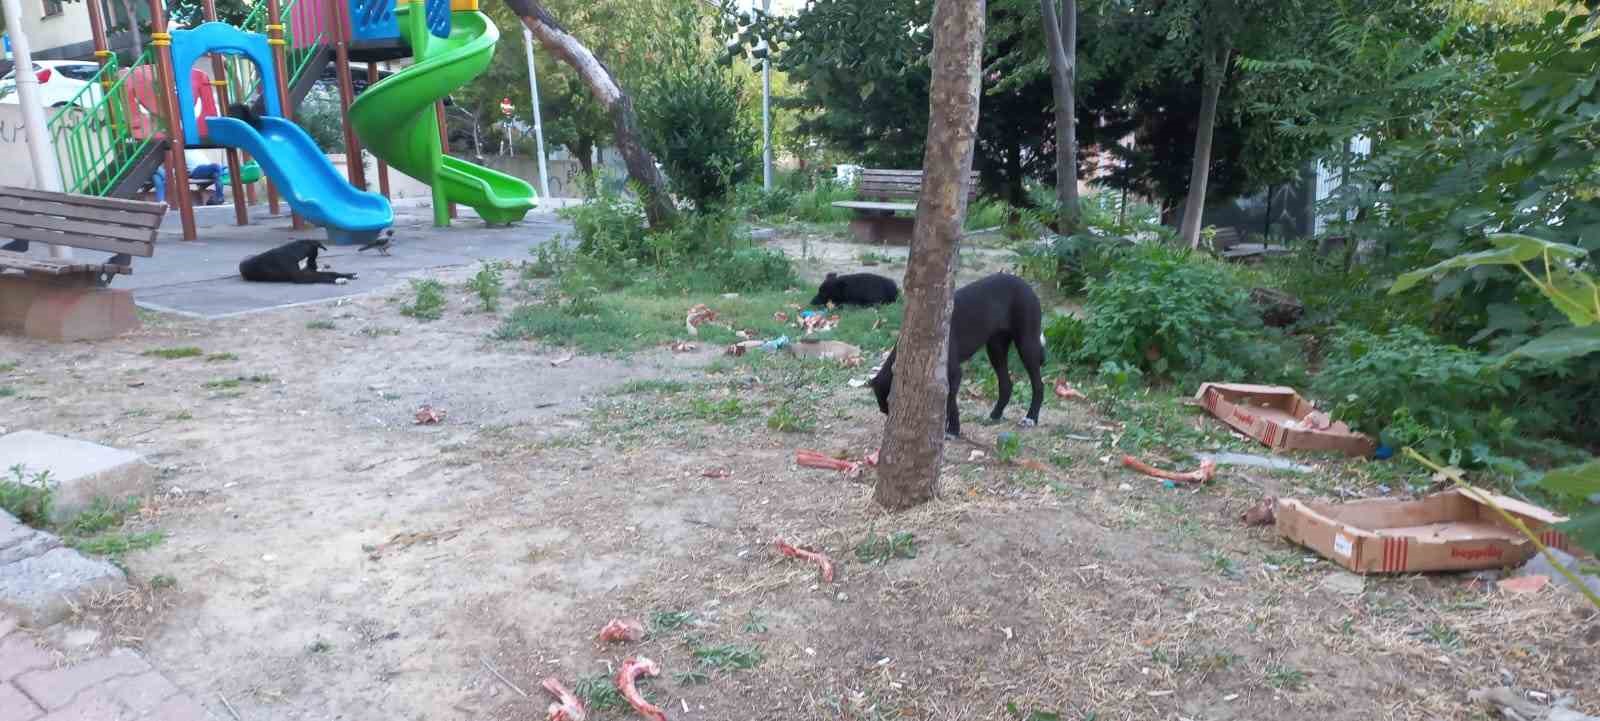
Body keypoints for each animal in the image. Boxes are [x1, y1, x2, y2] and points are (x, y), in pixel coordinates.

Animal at [870, 273, 1043, 438]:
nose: (889, 417)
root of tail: (1026, 284)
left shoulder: (954, 374)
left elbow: (950, 402)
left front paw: (952, 430)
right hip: (996, 348)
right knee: (1006, 383)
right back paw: (995, 414)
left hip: (1026, 344)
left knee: (1038, 384)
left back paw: (1031, 417)